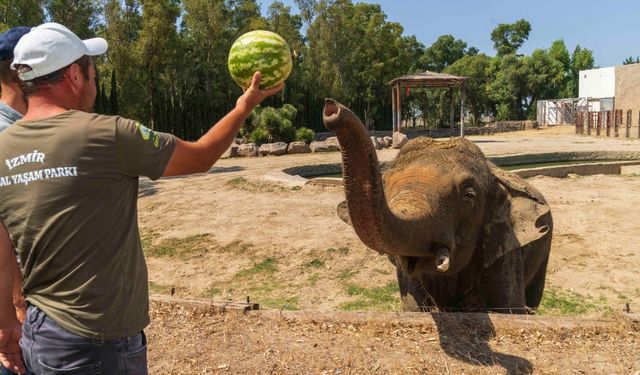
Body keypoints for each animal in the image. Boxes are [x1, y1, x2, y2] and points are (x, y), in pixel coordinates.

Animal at [322, 98, 552, 312]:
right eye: (385, 184)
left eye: (469, 195)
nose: (331, 109)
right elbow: (414, 307)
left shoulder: (504, 251)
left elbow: (510, 308)